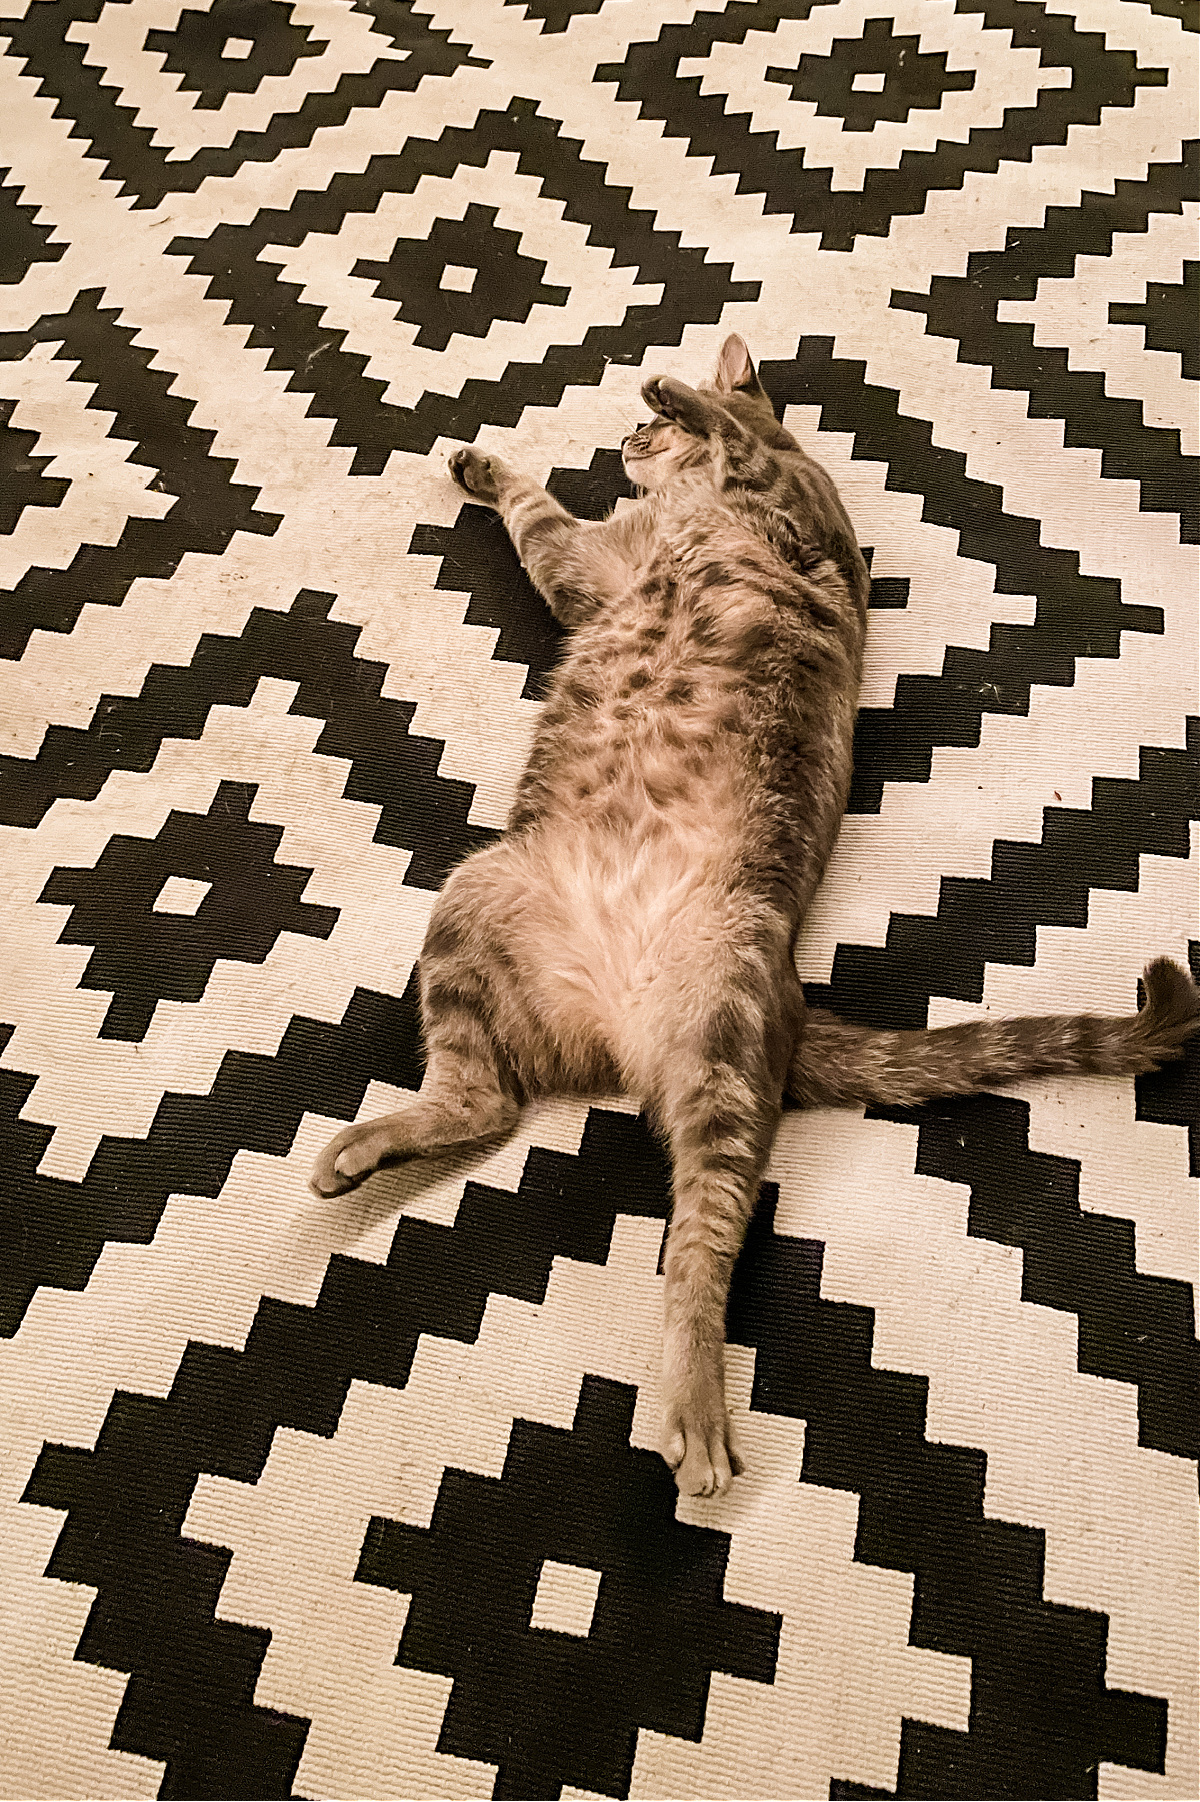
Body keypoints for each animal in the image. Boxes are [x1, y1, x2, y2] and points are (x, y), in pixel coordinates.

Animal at [312, 335, 1200, 1498]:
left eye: (647, 429)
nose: (629, 433)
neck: (689, 504)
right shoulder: (587, 568)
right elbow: (536, 510)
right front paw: (488, 467)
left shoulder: (785, 501)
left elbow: (738, 429)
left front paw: (675, 391)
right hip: (477, 904)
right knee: (485, 1103)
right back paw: (370, 1149)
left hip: (718, 1051)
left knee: (697, 1246)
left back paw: (694, 1410)